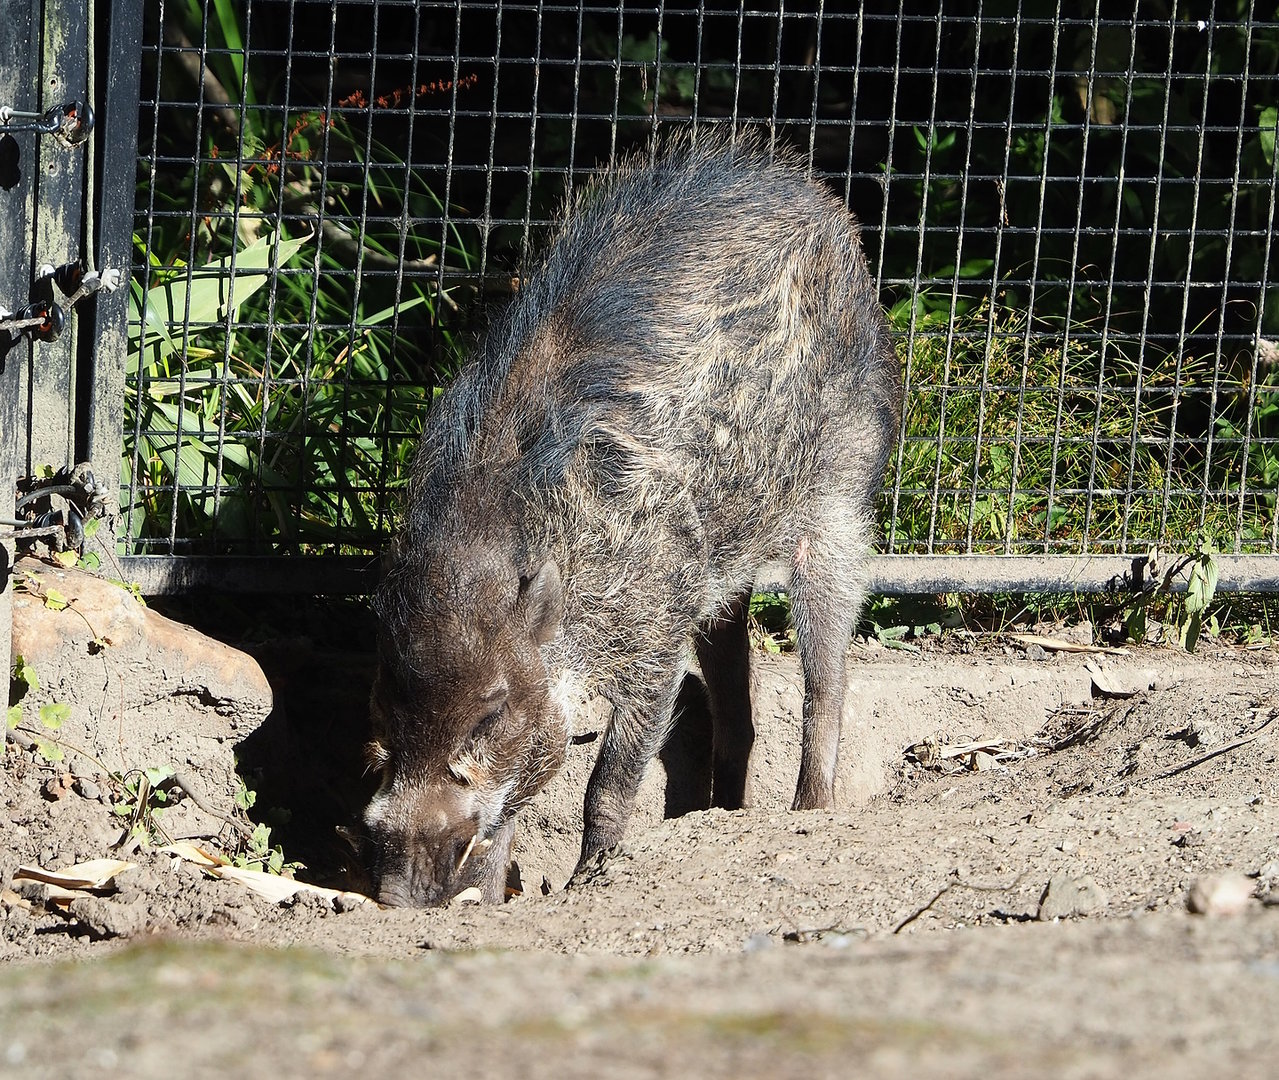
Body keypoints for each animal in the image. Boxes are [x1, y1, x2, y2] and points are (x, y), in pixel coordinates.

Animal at [363, 130, 902, 906]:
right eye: (383, 706)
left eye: (491, 710)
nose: (395, 896)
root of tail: (824, 204)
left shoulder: (652, 630)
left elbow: (606, 783)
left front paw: (589, 881)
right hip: (727, 563)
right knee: (737, 696)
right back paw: (720, 811)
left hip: (839, 498)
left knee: (826, 676)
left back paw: (808, 811)